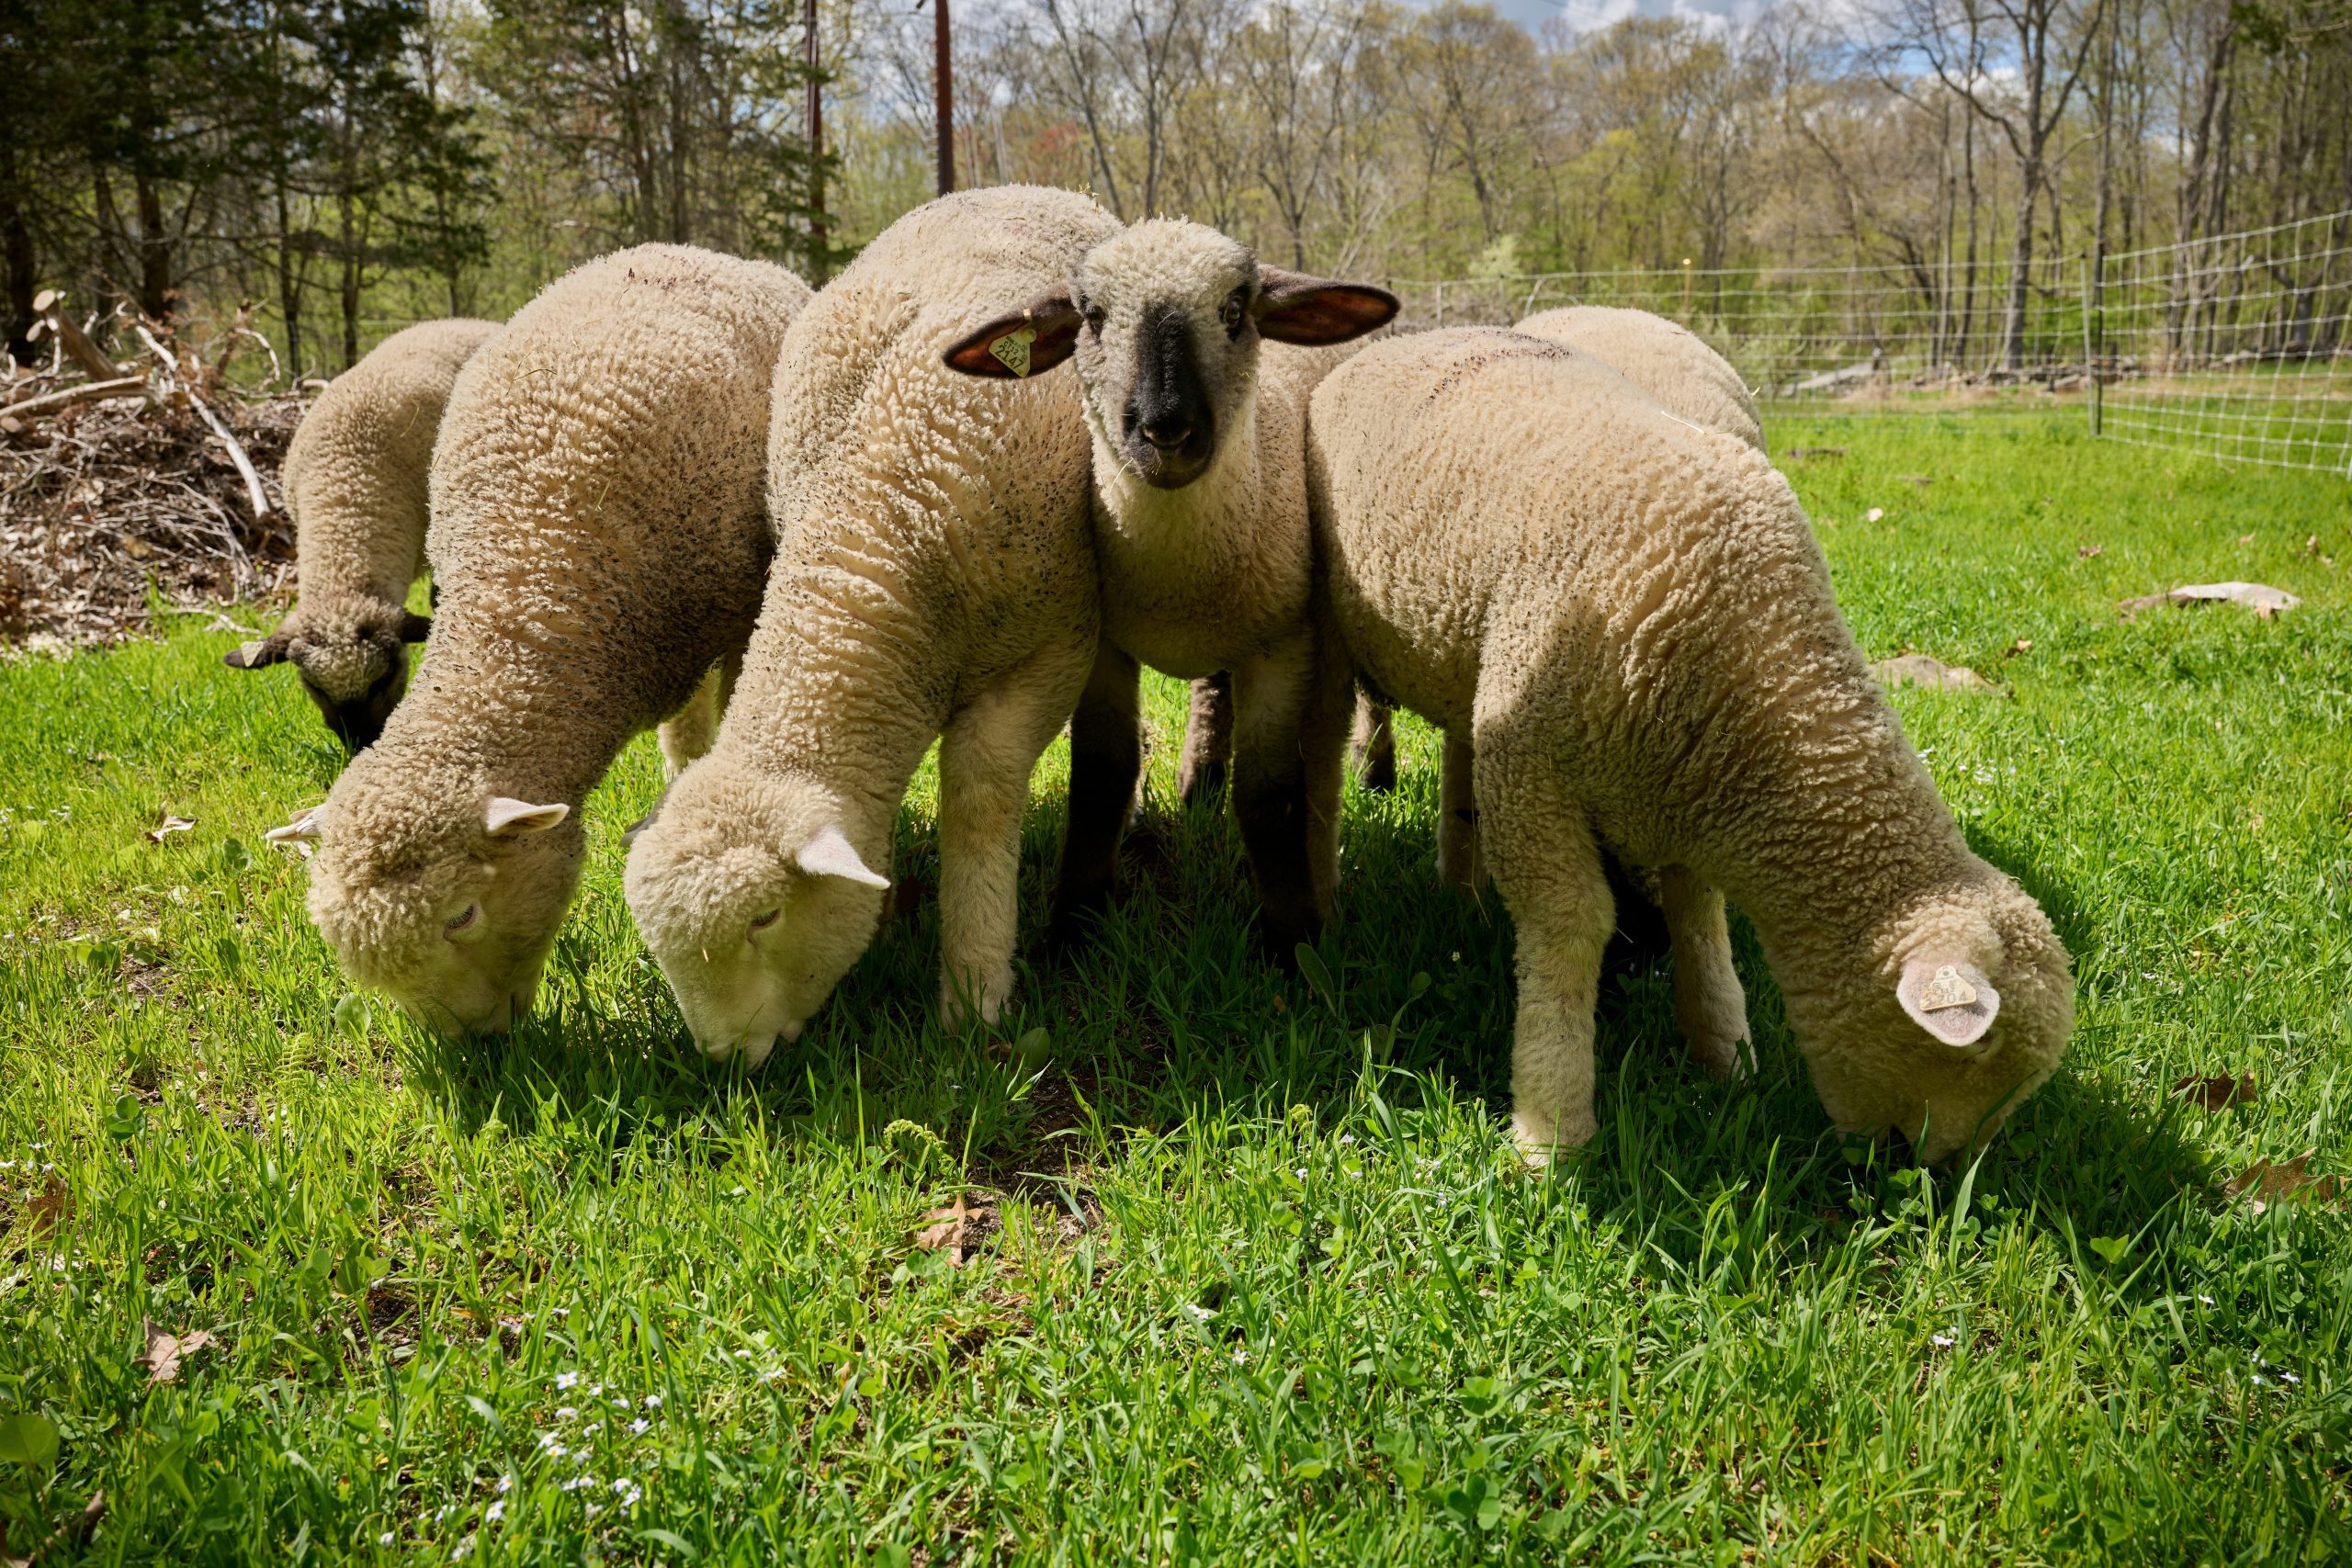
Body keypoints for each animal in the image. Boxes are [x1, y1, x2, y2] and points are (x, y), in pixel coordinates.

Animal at [625, 184, 1119, 1066]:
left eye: (766, 917)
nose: (727, 1063)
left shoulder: (1049, 649)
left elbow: (979, 794)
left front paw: (974, 994)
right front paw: (887, 920)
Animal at [941, 216, 1392, 959]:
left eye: (1236, 309)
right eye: (1092, 315)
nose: (1165, 430)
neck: (1175, 576)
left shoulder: (1283, 642)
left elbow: (1269, 796)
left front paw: (1290, 945)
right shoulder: (1104, 646)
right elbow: (1101, 778)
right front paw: (1073, 928)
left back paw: (1375, 775)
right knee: (1211, 691)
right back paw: (1198, 782)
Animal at [1307, 324, 2079, 1166]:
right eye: (1974, 1057)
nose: (1940, 1176)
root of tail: (1407, 335)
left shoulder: (1678, 777)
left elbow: (1700, 919)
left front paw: (1723, 1056)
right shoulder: (1533, 767)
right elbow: (1570, 926)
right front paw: (1553, 1130)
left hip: (1470, 657)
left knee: (1456, 744)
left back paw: (1459, 879)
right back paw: (1361, 798)